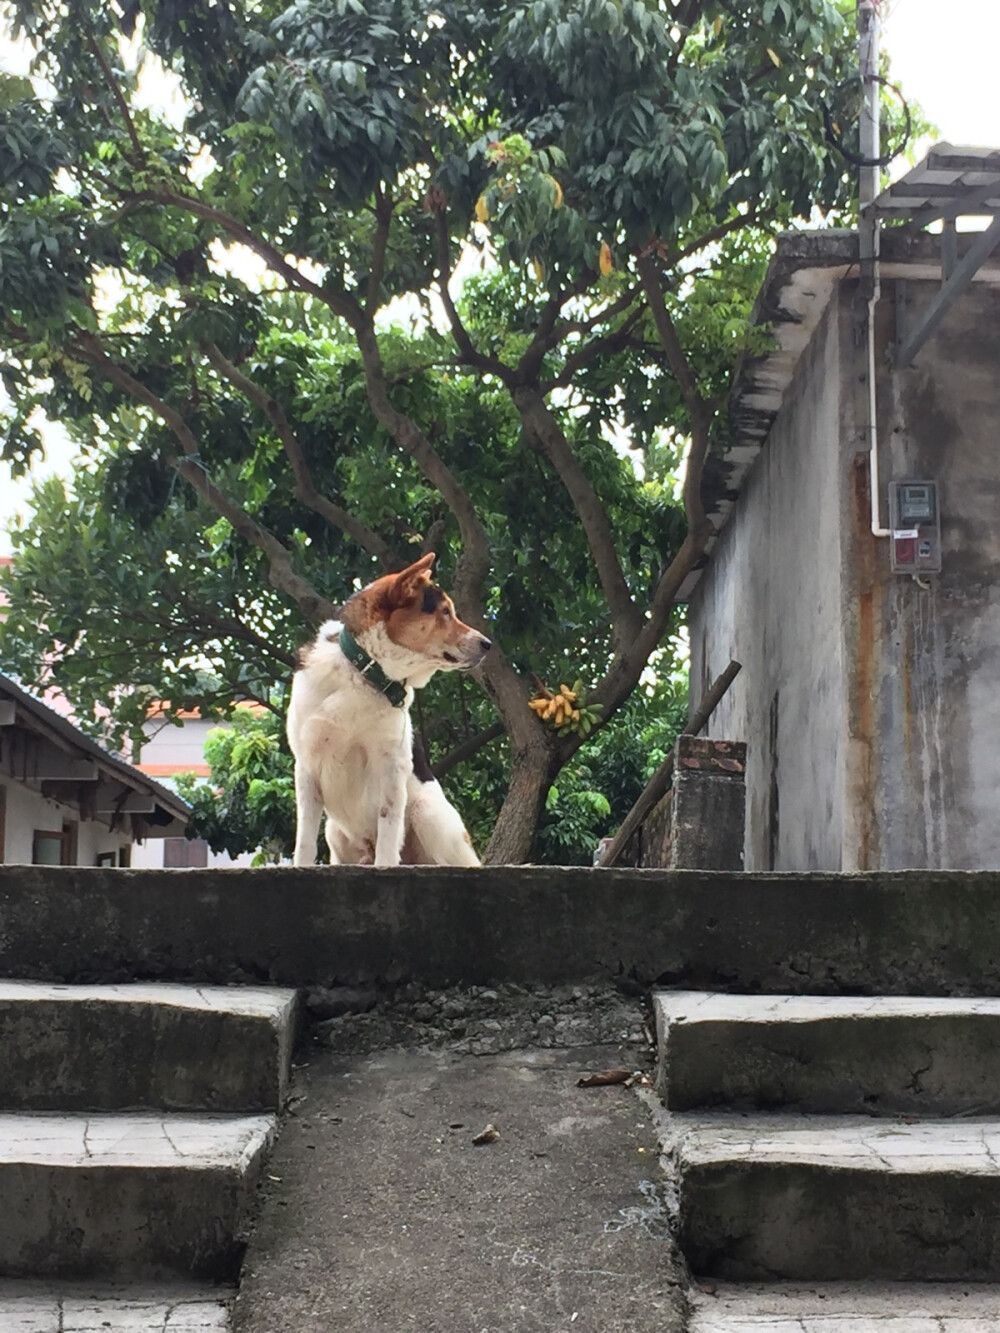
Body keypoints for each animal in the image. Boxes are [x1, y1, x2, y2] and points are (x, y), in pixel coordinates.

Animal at [288, 549, 490, 863]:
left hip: (428, 814)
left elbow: (388, 829)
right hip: (336, 833)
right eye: (445, 612)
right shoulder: (307, 765)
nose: (488, 644)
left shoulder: (391, 765)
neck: (364, 673)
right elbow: (305, 841)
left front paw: (384, 865)